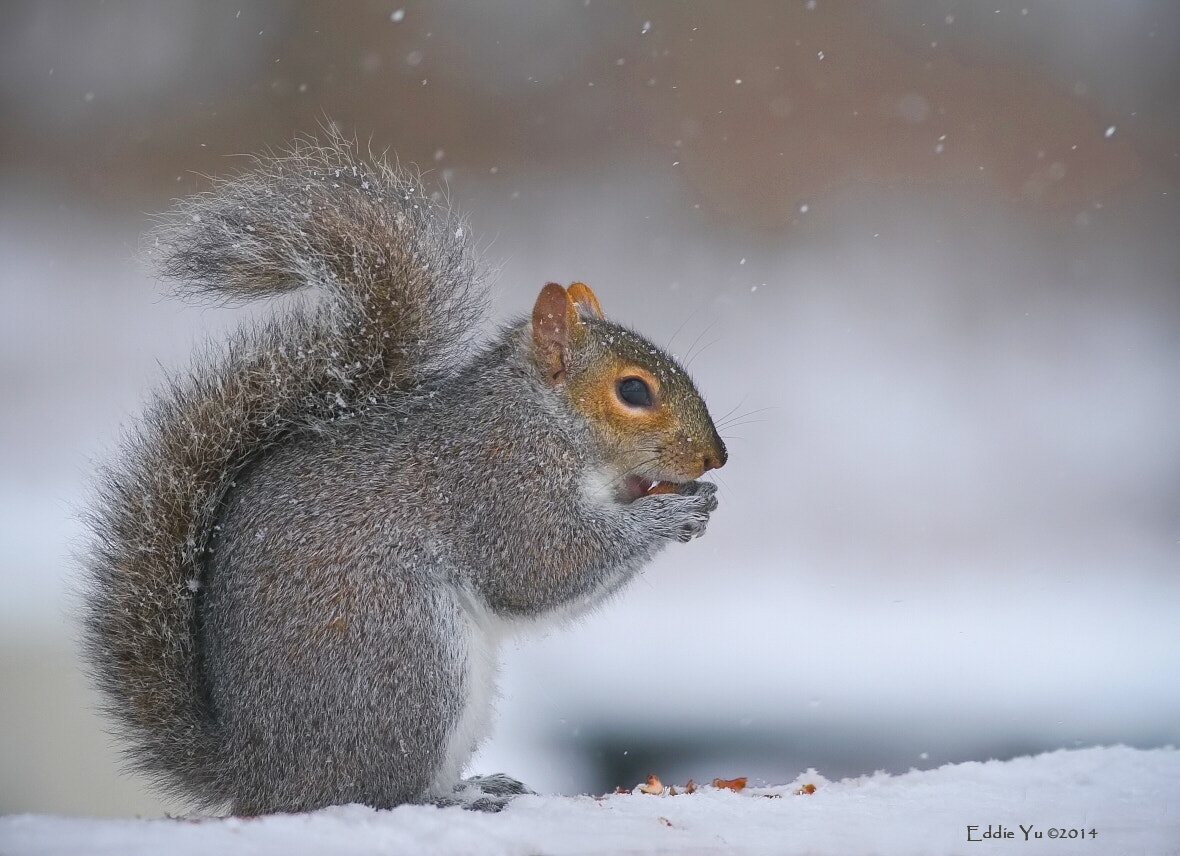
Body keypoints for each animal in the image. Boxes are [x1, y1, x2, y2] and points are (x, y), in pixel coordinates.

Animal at [80, 133, 726, 817]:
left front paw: (695, 501)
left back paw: (476, 785)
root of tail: (260, 778)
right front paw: (666, 513)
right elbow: (540, 568)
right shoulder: (497, 480)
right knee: (376, 794)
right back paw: (453, 801)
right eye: (633, 391)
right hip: (408, 661)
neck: (544, 418)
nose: (715, 458)